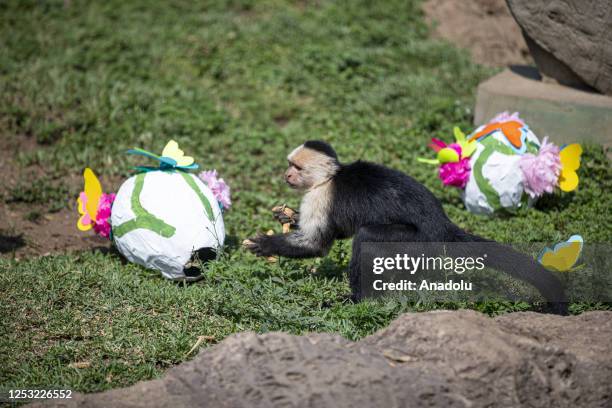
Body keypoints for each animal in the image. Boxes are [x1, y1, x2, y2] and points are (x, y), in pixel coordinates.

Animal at [244, 140, 568, 316]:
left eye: (296, 168)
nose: (286, 175)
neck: (330, 177)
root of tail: (442, 223)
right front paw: (286, 215)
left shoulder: (321, 195)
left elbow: (317, 244)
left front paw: (266, 244)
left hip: (418, 240)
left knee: (367, 238)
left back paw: (356, 299)